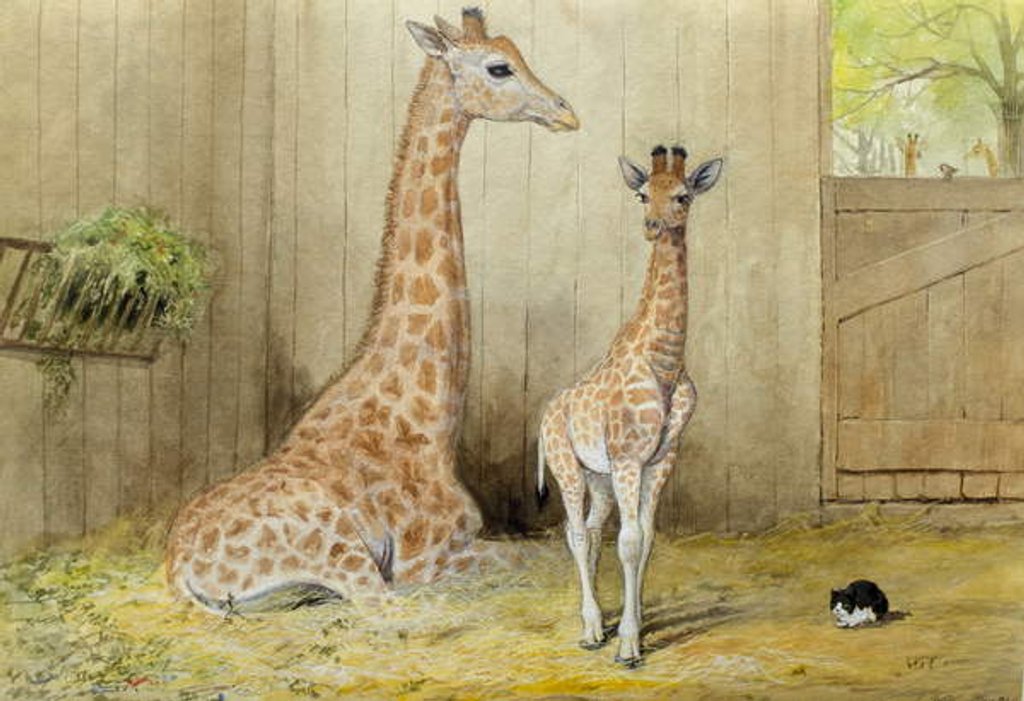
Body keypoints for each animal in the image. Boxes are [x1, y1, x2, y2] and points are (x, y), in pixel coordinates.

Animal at [165, 7, 578, 613]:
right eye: (498, 67)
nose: (565, 112)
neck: (433, 422)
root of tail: (178, 571)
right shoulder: (428, 556)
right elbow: (537, 555)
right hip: (342, 551)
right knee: (384, 608)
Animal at [538, 145, 722, 666]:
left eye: (683, 195)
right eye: (642, 193)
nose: (653, 226)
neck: (665, 361)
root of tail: (545, 415)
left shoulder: (658, 461)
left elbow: (644, 539)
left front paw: (632, 629)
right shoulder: (626, 459)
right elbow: (630, 540)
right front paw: (627, 645)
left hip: (597, 478)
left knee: (591, 529)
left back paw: (600, 623)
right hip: (567, 467)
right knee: (576, 532)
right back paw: (590, 629)